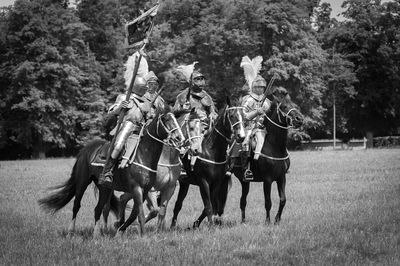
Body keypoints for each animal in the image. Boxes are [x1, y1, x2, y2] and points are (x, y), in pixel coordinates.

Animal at [39, 110, 184, 237]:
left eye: (176, 120)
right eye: (167, 120)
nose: (180, 138)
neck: (143, 154)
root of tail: (87, 148)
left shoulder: (146, 190)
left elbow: (135, 214)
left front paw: (119, 230)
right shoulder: (137, 188)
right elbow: (141, 214)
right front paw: (141, 235)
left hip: (104, 188)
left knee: (99, 209)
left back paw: (96, 234)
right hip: (82, 182)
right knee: (77, 205)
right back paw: (71, 232)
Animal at [227, 89, 302, 224]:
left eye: (295, 105)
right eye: (284, 106)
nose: (299, 119)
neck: (274, 146)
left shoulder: (281, 177)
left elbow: (283, 199)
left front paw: (277, 219)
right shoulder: (267, 180)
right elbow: (268, 202)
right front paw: (268, 221)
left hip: (245, 181)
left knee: (243, 201)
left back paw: (243, 221)